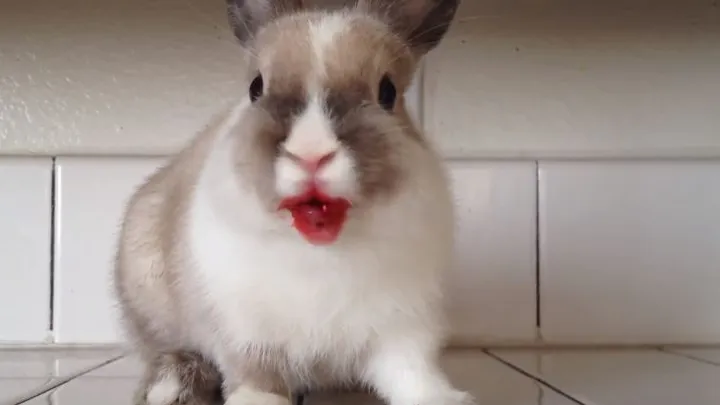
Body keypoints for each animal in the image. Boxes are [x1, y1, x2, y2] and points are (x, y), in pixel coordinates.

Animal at [113, 1, 470, 405]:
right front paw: (256, 401)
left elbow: (411, 371)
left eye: (388, 92)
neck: (321, 250)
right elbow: (256, 372)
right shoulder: (244, 329)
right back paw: (170, 388)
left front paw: (443, 398)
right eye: (255, 87)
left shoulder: (402, 325)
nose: (311, 153)